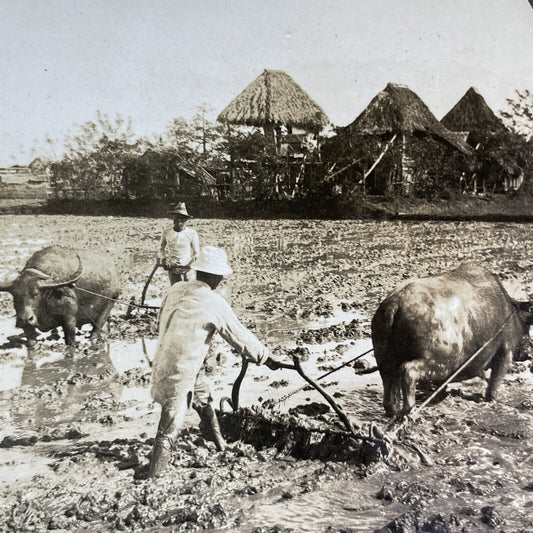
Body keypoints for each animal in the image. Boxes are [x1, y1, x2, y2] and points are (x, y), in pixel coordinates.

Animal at [370, 262, 532, 416]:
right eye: (528, 328)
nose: (528, 353)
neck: (511, 314)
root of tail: (394, 304)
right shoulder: (505, 353)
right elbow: (494, 383)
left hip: (384, 358)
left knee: (389, 380)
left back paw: (393, 410)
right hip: (444, 362)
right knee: (408, 370)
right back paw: (409, 410)